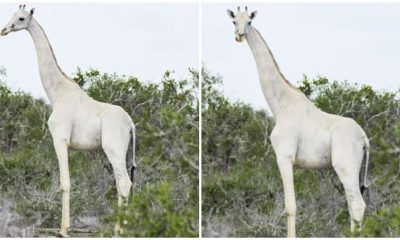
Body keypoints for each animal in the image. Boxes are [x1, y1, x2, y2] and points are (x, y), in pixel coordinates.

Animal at [0, 5, 137, 236]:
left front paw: (64, 229)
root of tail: (131, 124)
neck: (56, 92)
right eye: (11, 15)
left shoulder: (60, 139)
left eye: (21, 18)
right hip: (124, 151)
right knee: (123, 184)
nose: (4, 30)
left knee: (125, 183)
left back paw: (119, 230)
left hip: (113, 149)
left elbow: (65, 183)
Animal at [227, 6, 370, 237]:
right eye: (234, 21)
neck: (281, 104)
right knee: (352, 205)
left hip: (345, 165)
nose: (239, 35)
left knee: (357, 204)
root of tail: (364, 138)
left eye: (249, 21)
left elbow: (290, 207)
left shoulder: (284, 156)